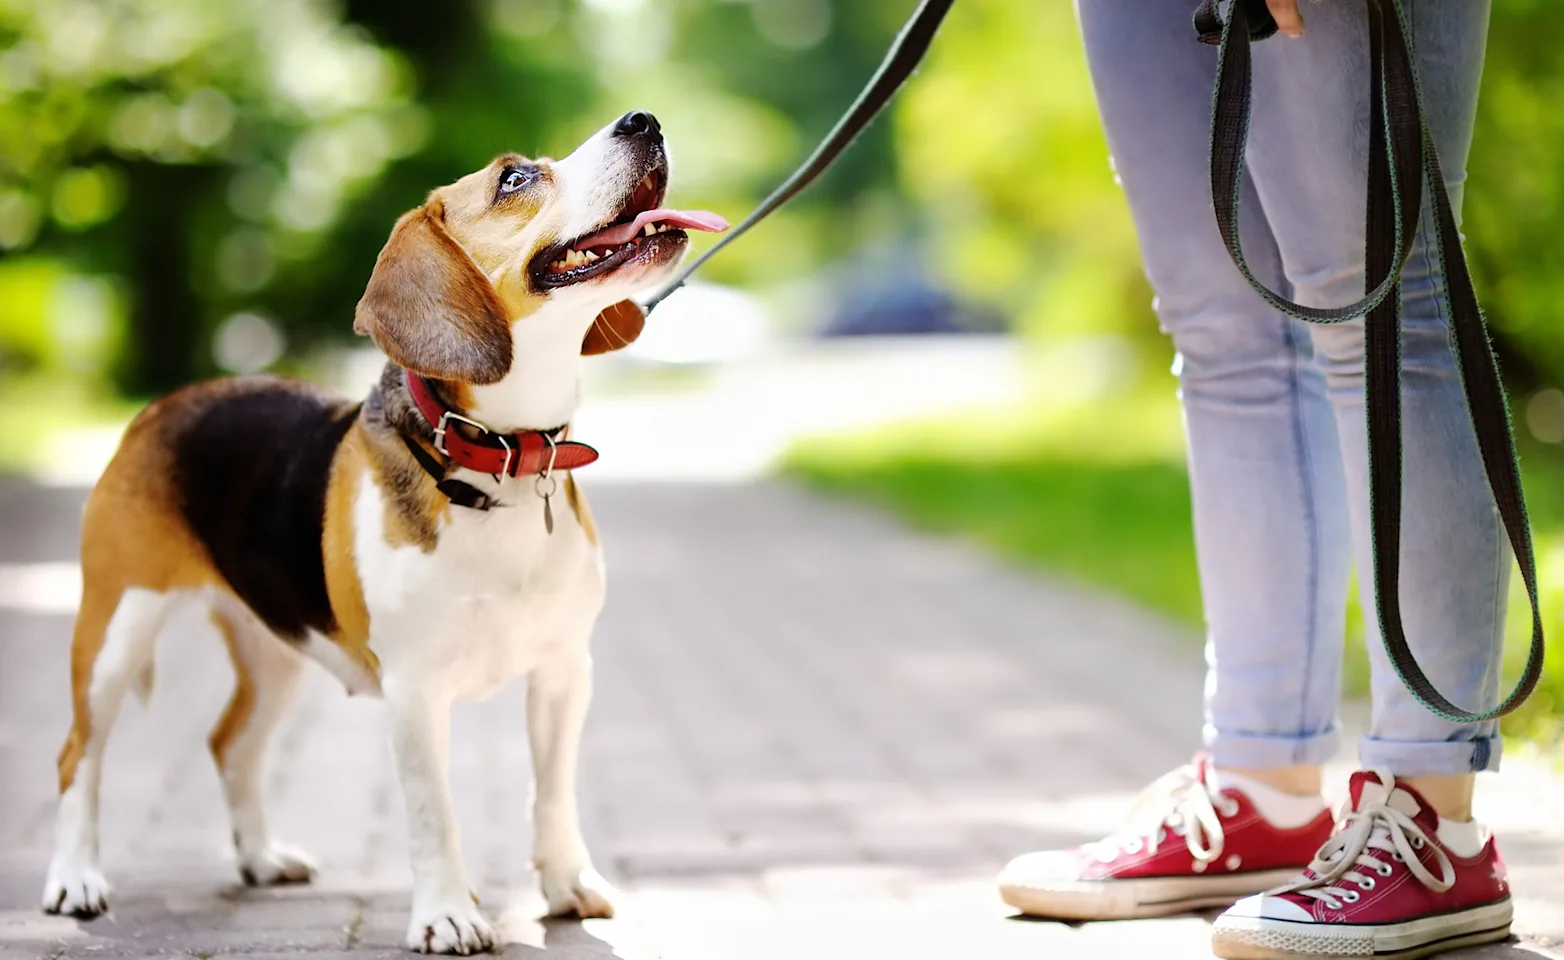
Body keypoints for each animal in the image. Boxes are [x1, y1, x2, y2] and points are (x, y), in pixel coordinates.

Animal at [42, 111, 725, 956]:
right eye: (514, 178)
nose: (644, 120)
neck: (498, 460)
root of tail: (165, 405)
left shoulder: (565, 671)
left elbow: (553, 792)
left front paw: (566, 884)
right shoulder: (414, 690)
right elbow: (436, 814)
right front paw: (448, 913)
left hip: (276, 650)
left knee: (230, 745)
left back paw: (261, 858)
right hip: (114, 631)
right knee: (78, 755)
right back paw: (75, 879)